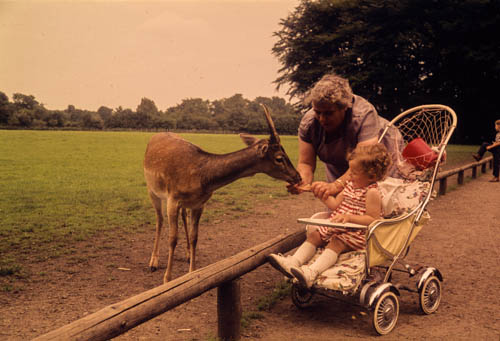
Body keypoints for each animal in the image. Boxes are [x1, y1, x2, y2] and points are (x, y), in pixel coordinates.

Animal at [143, 104, 302, 282]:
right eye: (279, 158)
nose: (298, 176)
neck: (200, 177)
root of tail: (155, 136)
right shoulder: (173, 198)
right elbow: (172, 238)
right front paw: (167, 279)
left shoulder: (199, 204)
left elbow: (194, 236)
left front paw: (192, 273)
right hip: (152, 190)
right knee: (159, 220)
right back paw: (153, 262)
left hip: (181, 203)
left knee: (182, 216)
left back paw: (187, 254)